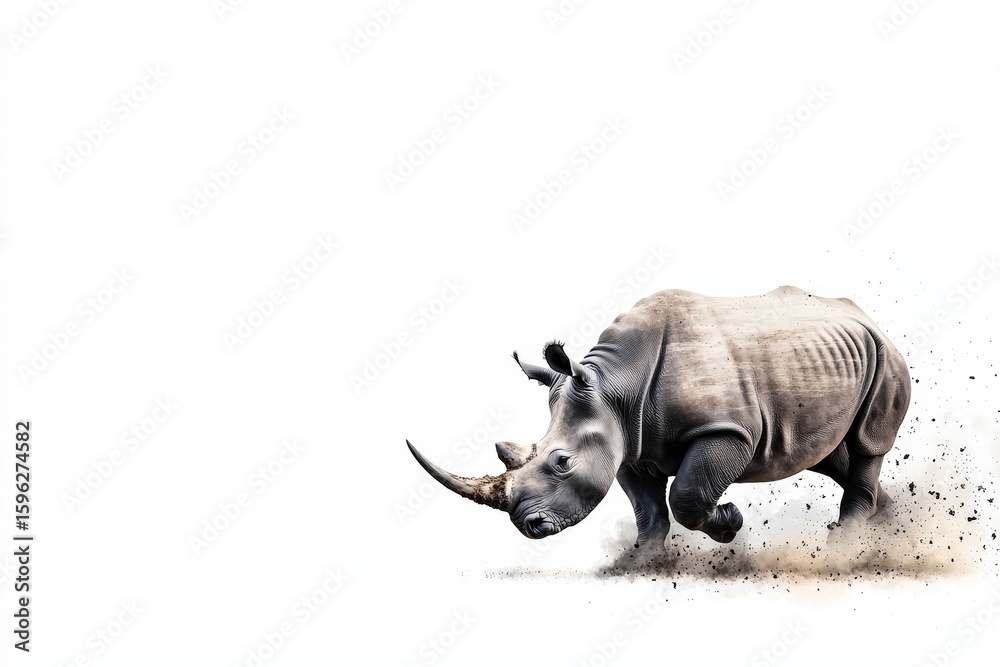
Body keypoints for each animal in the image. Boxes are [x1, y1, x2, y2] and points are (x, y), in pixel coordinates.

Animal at [406, 286, 911, 549]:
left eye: (562, 462)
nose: (528, 527)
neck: (615, 385)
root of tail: (865, 315)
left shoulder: (727, 432)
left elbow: (686, 496)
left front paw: (729, 524)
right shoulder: (627, 442)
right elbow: (648, 509)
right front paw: (643, 560)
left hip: (886, 354)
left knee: (867, 443)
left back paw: (847, 541)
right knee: (828, 455)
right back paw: (889, 521)